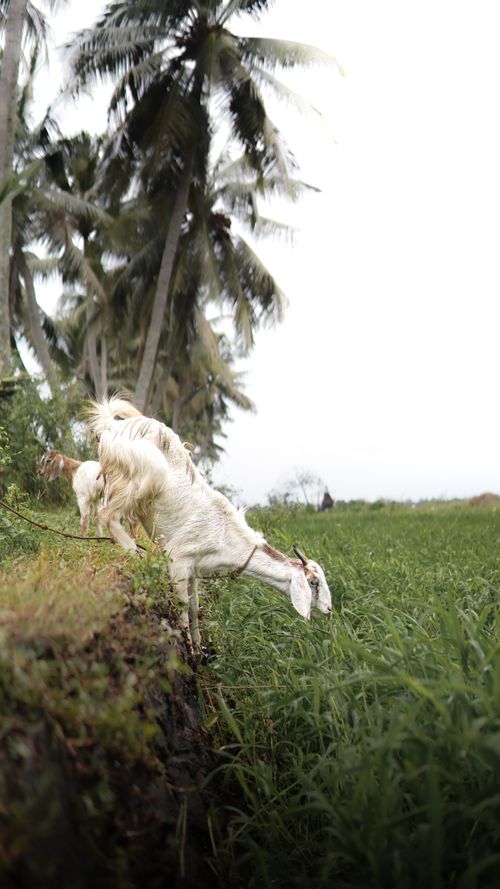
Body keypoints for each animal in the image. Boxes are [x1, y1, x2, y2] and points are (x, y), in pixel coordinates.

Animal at [87, 397, 332, 649]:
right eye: (314, 583)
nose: (329, 610)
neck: (227, 536)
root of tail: (112, 425)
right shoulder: (178, 559)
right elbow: (183, 606)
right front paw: (189, 648)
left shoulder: (194, 568)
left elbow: (195, 606)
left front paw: (199, 644)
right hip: (140, 473)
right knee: (107, 515)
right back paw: (137, 555)